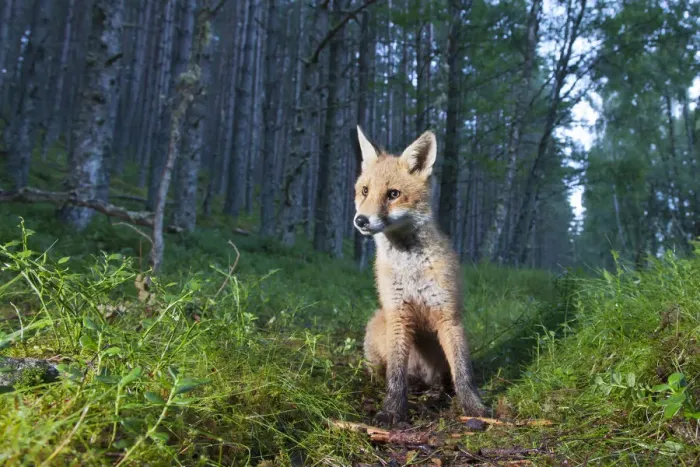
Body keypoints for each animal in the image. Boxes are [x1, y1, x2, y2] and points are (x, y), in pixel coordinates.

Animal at [353, 126, 487, 426]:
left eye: (393, 194)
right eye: (365, 191)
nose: (361, 220)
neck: (410, 268)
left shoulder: (449, 316)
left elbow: (463, 373)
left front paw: (473, 407)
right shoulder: (398, 314)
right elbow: (395, 376)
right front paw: (392, 411)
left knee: (441, 380)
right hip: (378, 324)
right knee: (386, 372)